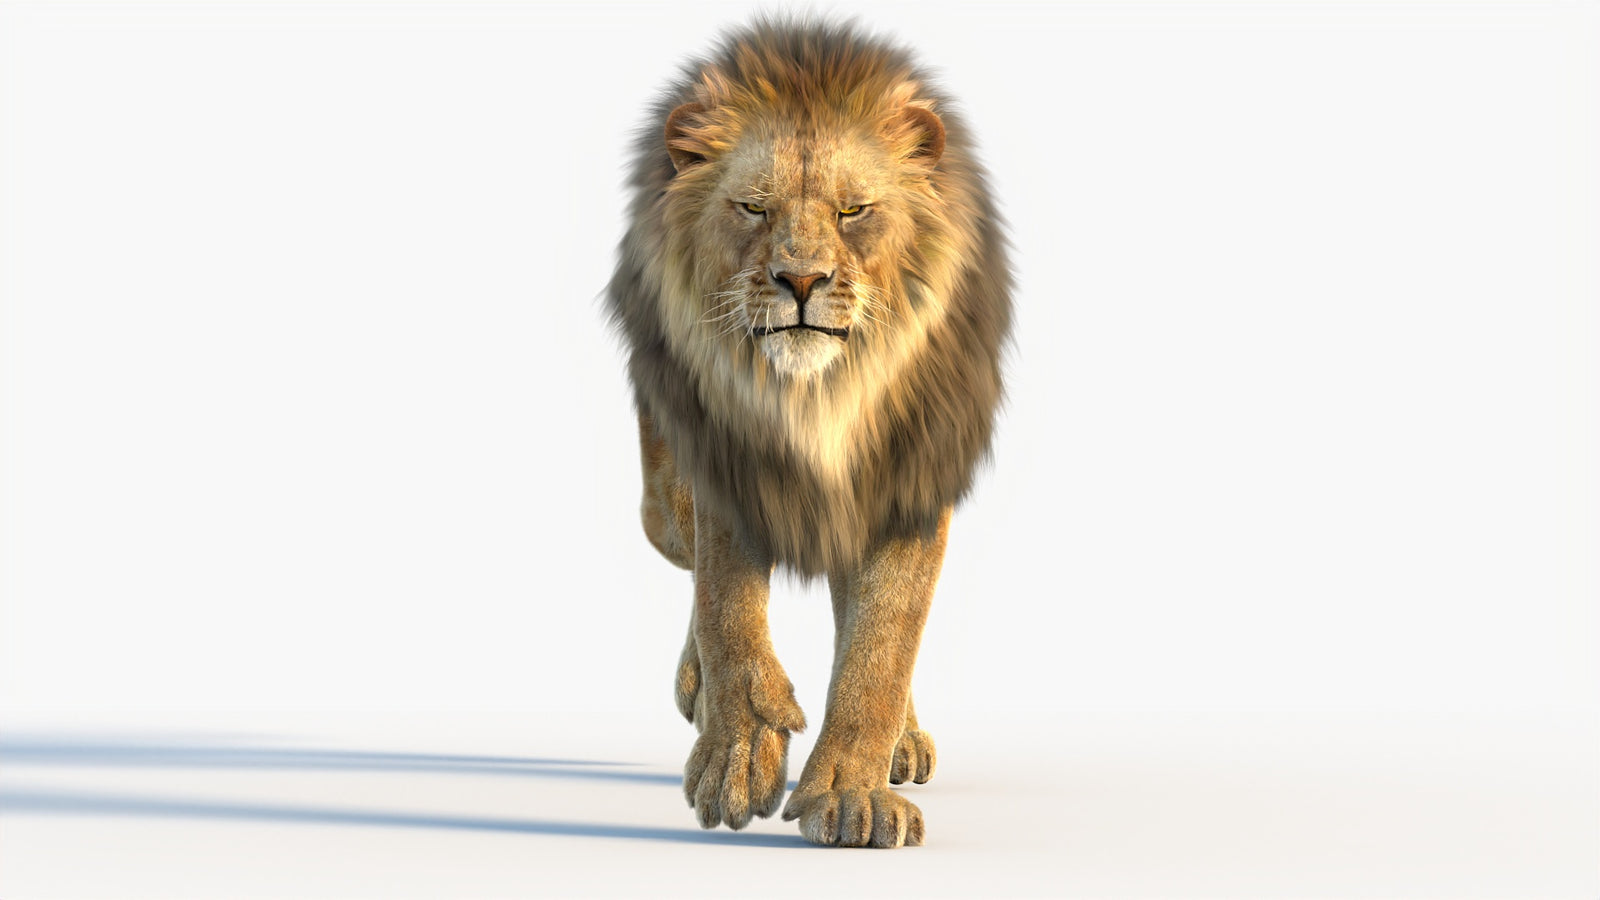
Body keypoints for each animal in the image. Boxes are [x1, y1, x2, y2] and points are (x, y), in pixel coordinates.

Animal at [605, 19, 1011, 848]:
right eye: (753, 209)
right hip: (661, 500)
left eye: (853, 211)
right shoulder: (723, 466)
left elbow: (883, 644)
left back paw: (901, 742)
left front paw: (852, 796)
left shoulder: (911, 480)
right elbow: (727, 607)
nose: (800, 281)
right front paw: (737, 754)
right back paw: (700, 695)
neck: (820, 398)